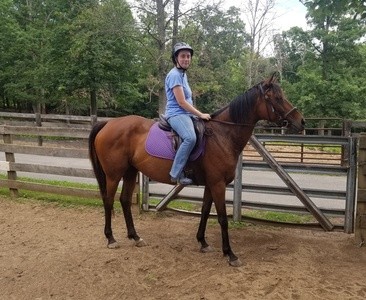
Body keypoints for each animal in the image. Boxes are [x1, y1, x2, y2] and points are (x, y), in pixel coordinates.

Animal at [88, 73, 304, 268]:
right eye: (277, 98)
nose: (301, 121)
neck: (222, 135)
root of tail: (108, 123)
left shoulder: (211, 184)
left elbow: (205, 211)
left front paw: (203, 242)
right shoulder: (218, 184)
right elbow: (222, 218)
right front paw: (230, 254)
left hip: (130, 172)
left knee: (124, 200)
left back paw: (135, 237)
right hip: (113, 175)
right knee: (108, 200)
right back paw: (111, 239)